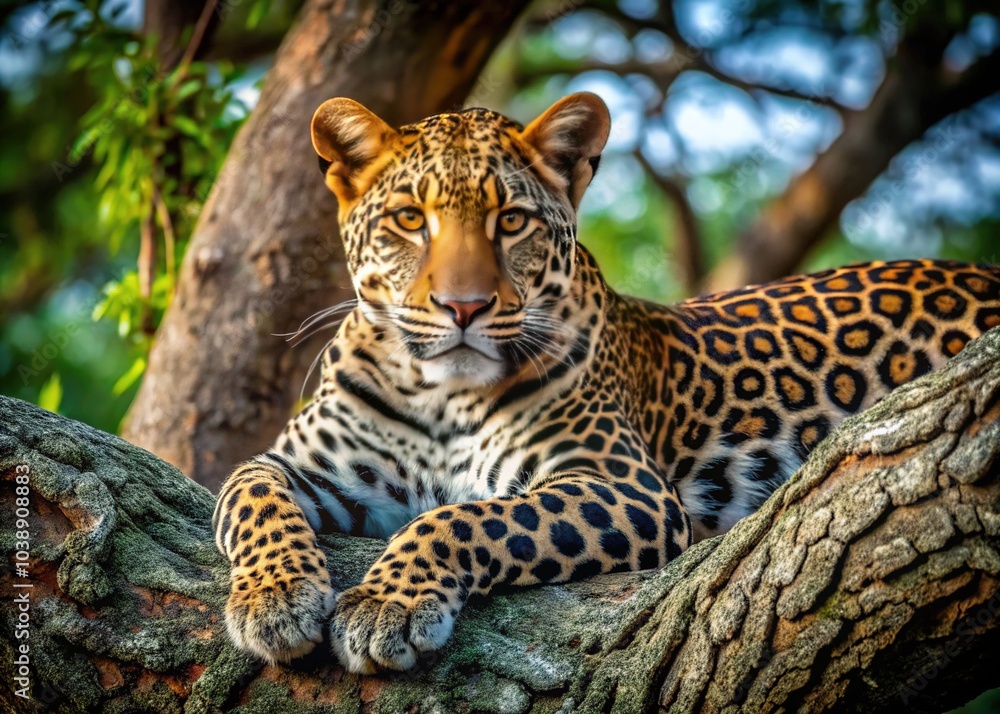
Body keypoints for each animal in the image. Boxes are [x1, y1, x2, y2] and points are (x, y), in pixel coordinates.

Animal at [212, 91, 1000, 673]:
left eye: (512, 220)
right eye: (410, 219)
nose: (464, 307)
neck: (440, 396)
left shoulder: (624, 485)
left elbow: (465, 516)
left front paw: (388, 605)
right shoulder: (301, 464)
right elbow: (248, 494)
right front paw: (276, 598)